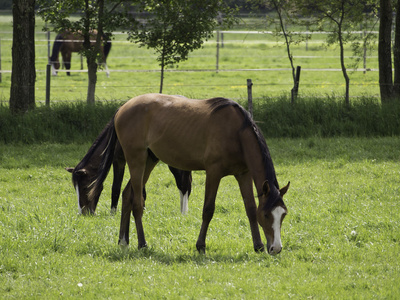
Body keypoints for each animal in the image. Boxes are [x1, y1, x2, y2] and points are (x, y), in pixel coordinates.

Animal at [89, 94, 290, 255]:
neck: (236, 132)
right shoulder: (213, 172)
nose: (276, 248)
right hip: (136, 160)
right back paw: (142, 243)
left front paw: (258, 245)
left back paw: (123, 241)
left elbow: (250, 208)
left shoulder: (243, 174)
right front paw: (200, 246)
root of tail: (122, 109)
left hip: (149, 161)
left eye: (283, 215)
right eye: (267, 215)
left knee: (127, 195)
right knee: (137, 202)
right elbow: (208, 209)